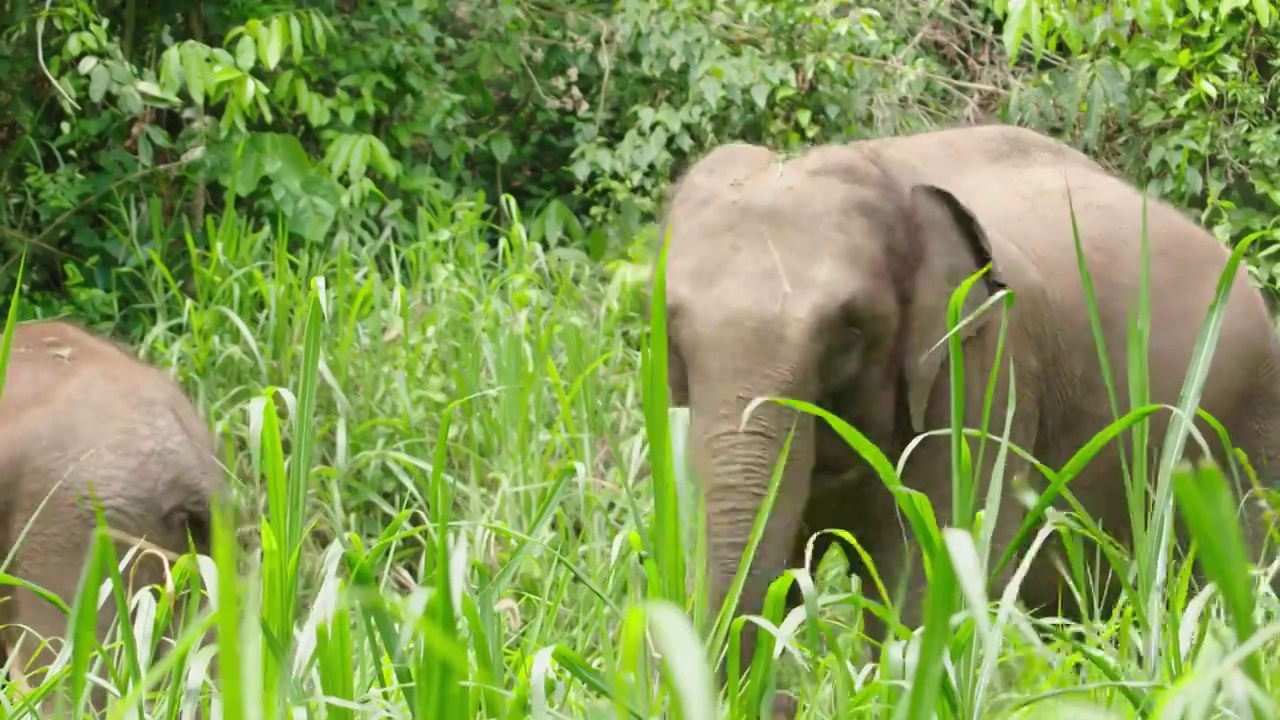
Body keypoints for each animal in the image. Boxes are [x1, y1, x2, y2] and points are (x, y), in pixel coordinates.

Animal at [660, 122, 1280, 702]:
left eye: (849, 332)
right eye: (671, 334)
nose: (784, 697)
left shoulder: (983, 367)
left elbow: (929, 578)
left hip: (1245, 426)